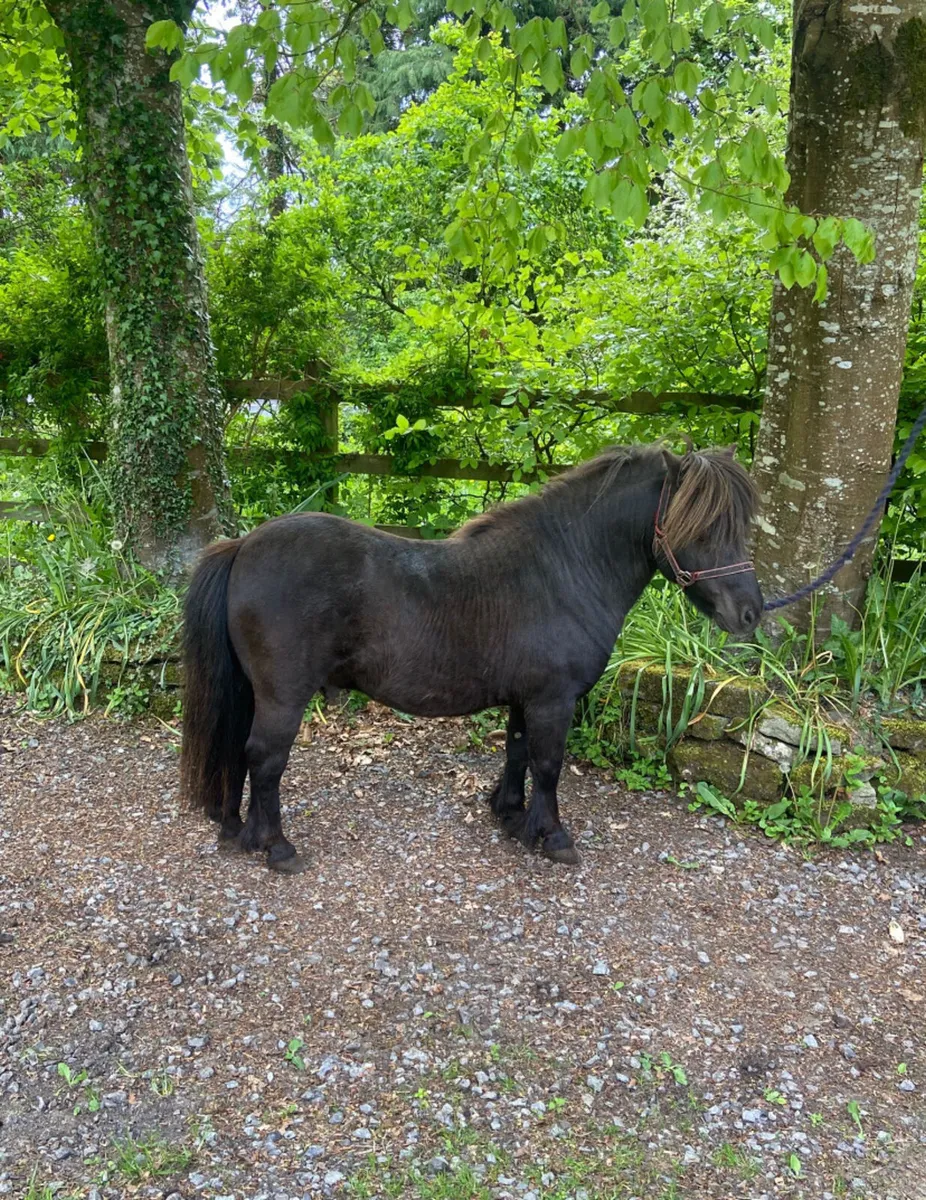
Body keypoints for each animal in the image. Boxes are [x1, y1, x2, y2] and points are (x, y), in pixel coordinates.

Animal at [181, 443, 762, 872]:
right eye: (704, 526)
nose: (751, 612)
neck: (562, 570)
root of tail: (243, 546)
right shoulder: (554, 700)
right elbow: (548, 765)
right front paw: (553, 837)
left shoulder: (528, 699)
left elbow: (518, 752)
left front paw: (511, 817)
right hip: (283, 696)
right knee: (264, 759)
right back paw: (276, 846)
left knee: (240, 752)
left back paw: (237, 830)